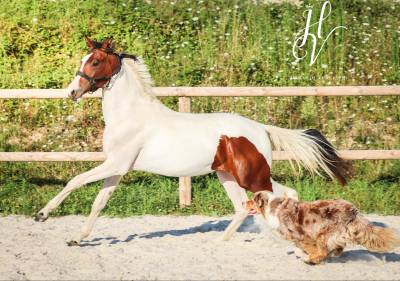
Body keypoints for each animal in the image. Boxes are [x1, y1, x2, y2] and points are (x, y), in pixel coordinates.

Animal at [34, 37, 348, 245]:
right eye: (83, 60)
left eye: (96, 61)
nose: (71, 92)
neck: (130, 115)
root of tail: (260, 128)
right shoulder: (118, 168)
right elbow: (99, 203)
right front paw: (77, 238)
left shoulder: (115, 165)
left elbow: (74, 181)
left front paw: (42, 214)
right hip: (227, 175)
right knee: (242, 206)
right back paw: (220, 242)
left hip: (254, 176)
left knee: (285, 194)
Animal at [247, 191, 400, 264]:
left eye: (251, 200)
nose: (243, 202)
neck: (271, 207)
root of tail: (354, 211)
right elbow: (298, 249)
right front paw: (303, 254)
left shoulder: (302, 235)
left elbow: (308, 248)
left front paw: (309, 256)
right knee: (337, 248)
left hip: (324, 233)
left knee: (324, 250)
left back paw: (312, 260)